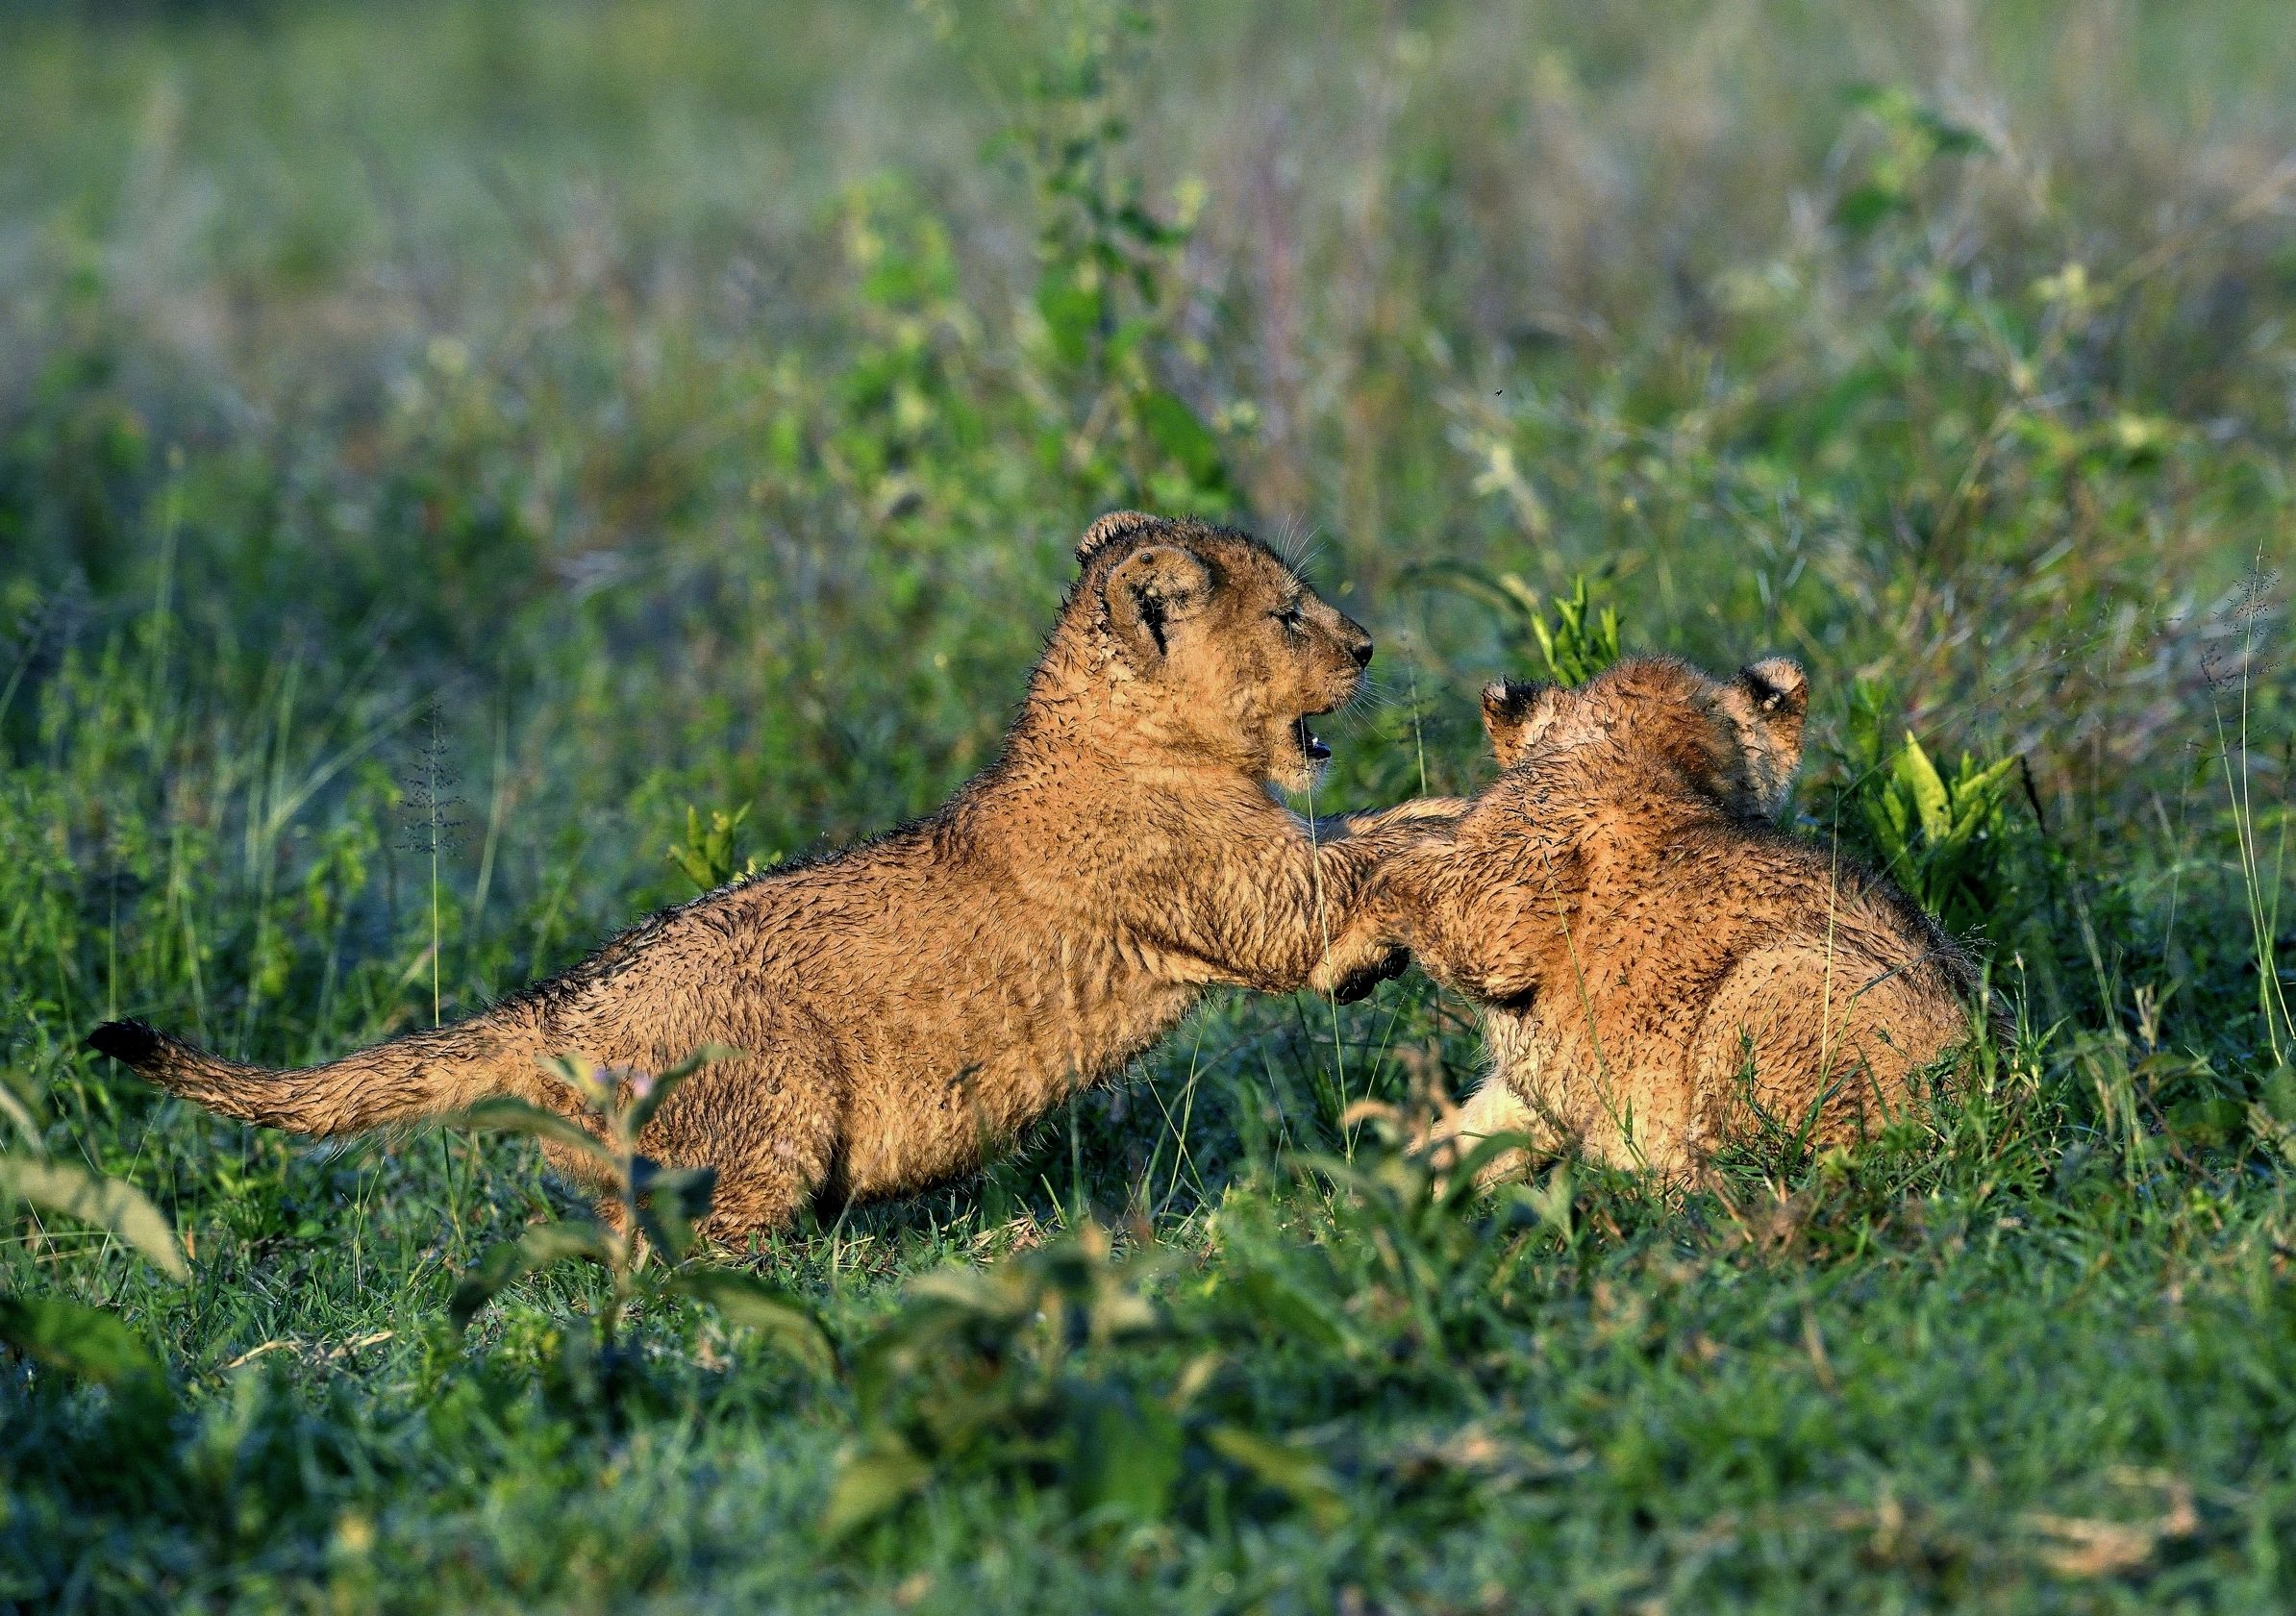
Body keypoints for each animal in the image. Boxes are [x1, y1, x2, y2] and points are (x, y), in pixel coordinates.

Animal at [91, 512, 1444, 1237]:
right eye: (1287, 615)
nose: (1371, 646)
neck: (1128, 735)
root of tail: (545, 1009)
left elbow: (1372, 823)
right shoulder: (1253, 906)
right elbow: (1362, 860)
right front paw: (1462, 828)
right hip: (777, 1090)